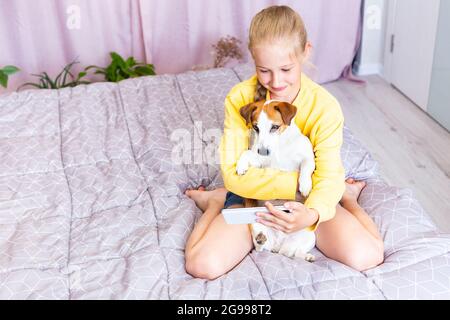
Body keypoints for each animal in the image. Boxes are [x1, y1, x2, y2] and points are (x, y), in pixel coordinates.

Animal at [236, 100, 316, 262]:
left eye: (275, 127)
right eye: (256, 127)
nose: (263, 151)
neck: (280, 146)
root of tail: (279, 245)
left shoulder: (307, 157)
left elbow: (306, 166)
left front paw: (305, 185)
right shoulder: (259, 161)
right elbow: (247, 153)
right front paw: (241, 165)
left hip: (309, 234)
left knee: (295, 252)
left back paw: (306, 256)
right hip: (256, 224)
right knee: (260, 248)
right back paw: (261, 238)